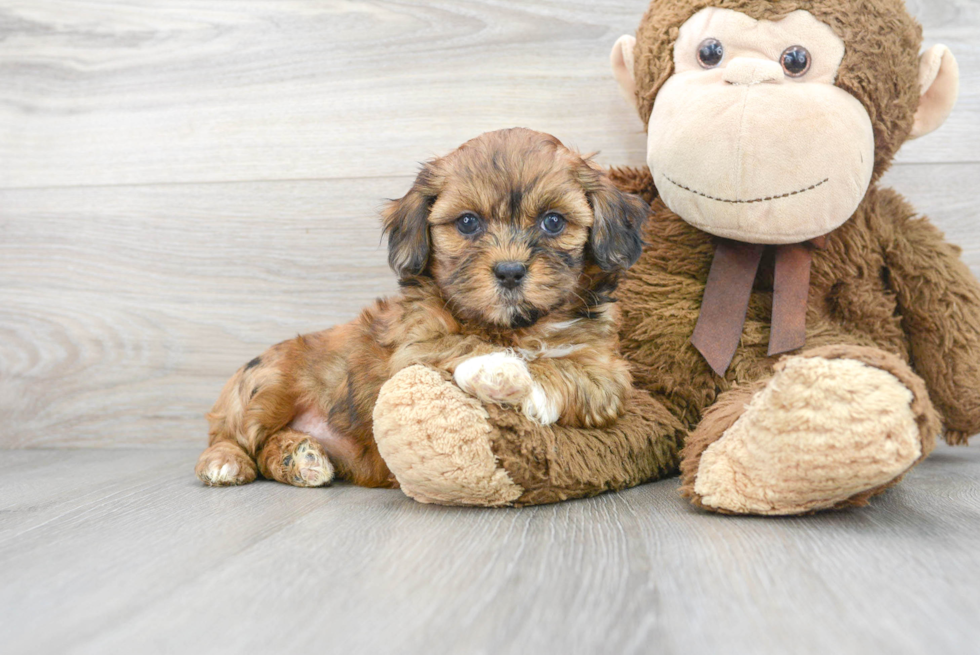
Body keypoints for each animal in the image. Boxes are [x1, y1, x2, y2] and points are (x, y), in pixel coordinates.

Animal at [194, 127, 648, 486]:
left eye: (553, 222)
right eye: (467, 222)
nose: (510, 271)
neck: (516, 326)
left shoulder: (607, 370)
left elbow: (575, 375)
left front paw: (514, 379)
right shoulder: (413, 347)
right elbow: (460, 345)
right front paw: (493, 366)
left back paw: (299, 457)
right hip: (268, 383)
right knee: (232, 434)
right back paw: (226, 462)